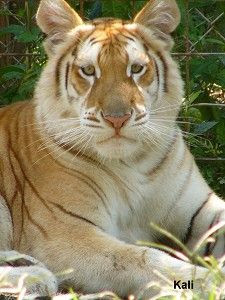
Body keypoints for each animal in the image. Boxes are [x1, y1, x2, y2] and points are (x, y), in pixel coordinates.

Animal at [0, 0, 225, 298]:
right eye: (88, 71)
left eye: (137, 68)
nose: (117, 118)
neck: (133, 162)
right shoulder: (66, 231)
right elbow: (144, 258)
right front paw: (211, 282)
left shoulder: (201, 209)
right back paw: (36, 276)